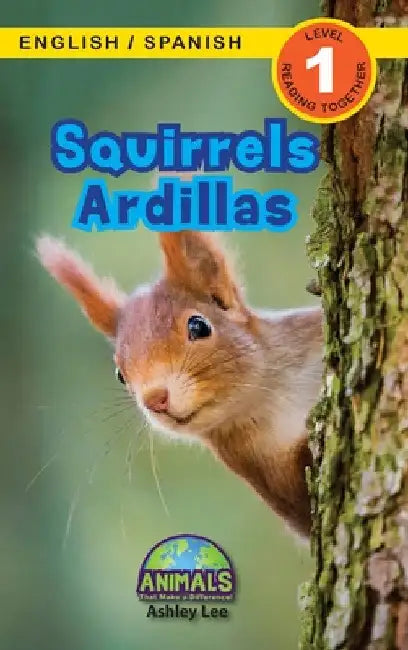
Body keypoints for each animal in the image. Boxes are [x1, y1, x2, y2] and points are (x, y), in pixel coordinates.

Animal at [36, 231, 322, 538]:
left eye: (199, 326)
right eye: (119, 375)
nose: (154, 399)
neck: (273, 397)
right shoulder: (266, 474)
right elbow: (302, 506)